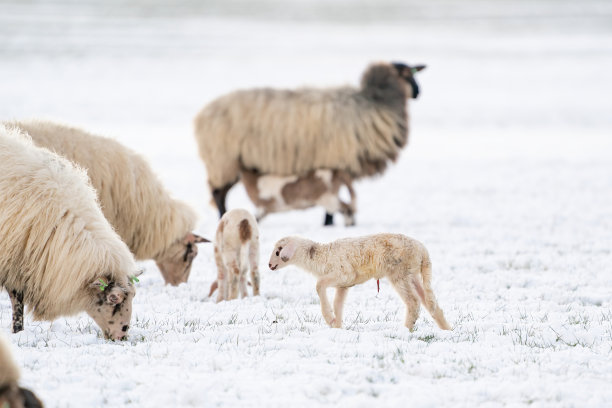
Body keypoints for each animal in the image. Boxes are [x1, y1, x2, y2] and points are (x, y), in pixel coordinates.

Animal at [194, 59, 424, 223]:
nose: (418, 92)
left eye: (413, 72)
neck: (374, 104)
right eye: (406, 74)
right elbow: (332, 199)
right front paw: (329, 223)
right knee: (218, 194)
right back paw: (222, 217)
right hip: (223, 160)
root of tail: (203, 114)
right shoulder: (336, 162)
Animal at [268, 233, 450, 332]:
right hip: (413, 275)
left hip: (399, 273)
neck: (319, 255)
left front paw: (329, 319)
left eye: (278, 252)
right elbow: (338, 304)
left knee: (413, 302)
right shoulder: (344, 284)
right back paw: (448, 330)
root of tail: (423, 252)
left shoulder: (342, 273)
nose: (269, 266)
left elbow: (319, 285)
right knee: (431, 304)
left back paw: (406, 329)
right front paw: (337, 327)